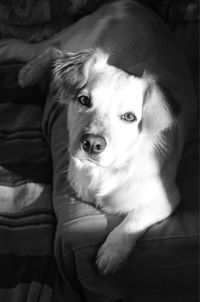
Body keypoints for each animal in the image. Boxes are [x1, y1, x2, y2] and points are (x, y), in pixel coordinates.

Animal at [1, 0, 195, 274]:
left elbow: (133, 220)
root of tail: (130, 4)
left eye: (129, 117)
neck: (110, 170)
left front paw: (112, 253)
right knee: (52, 50)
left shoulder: (166, 199)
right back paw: (28, 71)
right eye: (84, 100)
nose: (92, 144)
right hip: (78, 38)